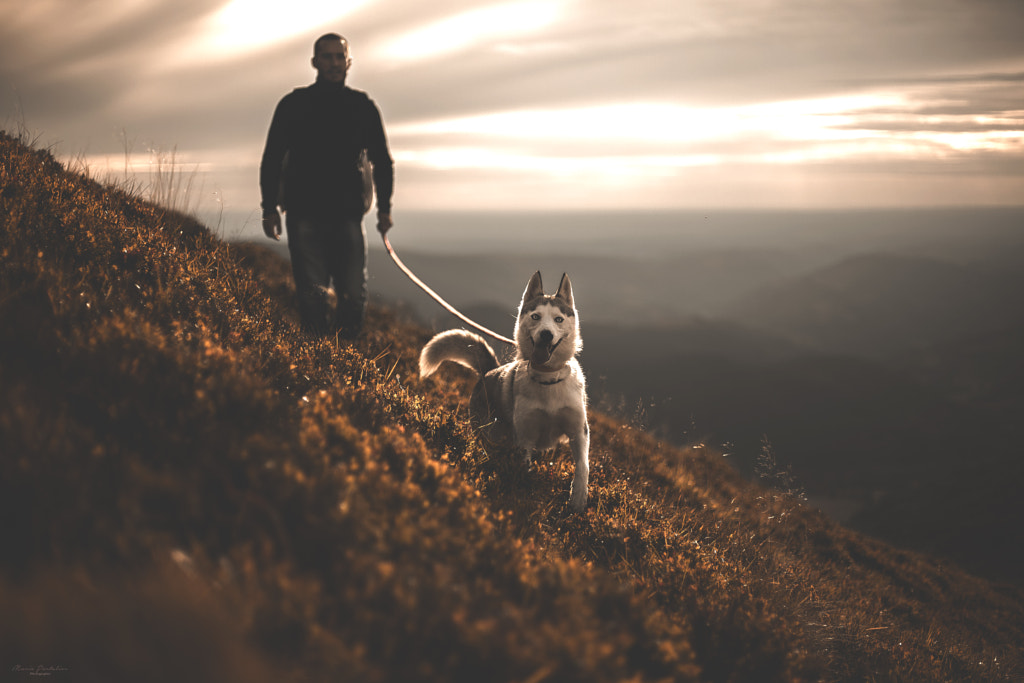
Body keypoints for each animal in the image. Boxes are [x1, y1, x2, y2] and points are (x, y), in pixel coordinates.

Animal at [417, 272, 593, 511]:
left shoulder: (578, 430)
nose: (546, 335)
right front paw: (525, 493)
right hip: (489, 434)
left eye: (558, 319)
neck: (548, 379)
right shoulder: (526, 436)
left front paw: (578, 499)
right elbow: (525, 468)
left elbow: (583, 466)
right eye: (536, 316)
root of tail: (488, 371)